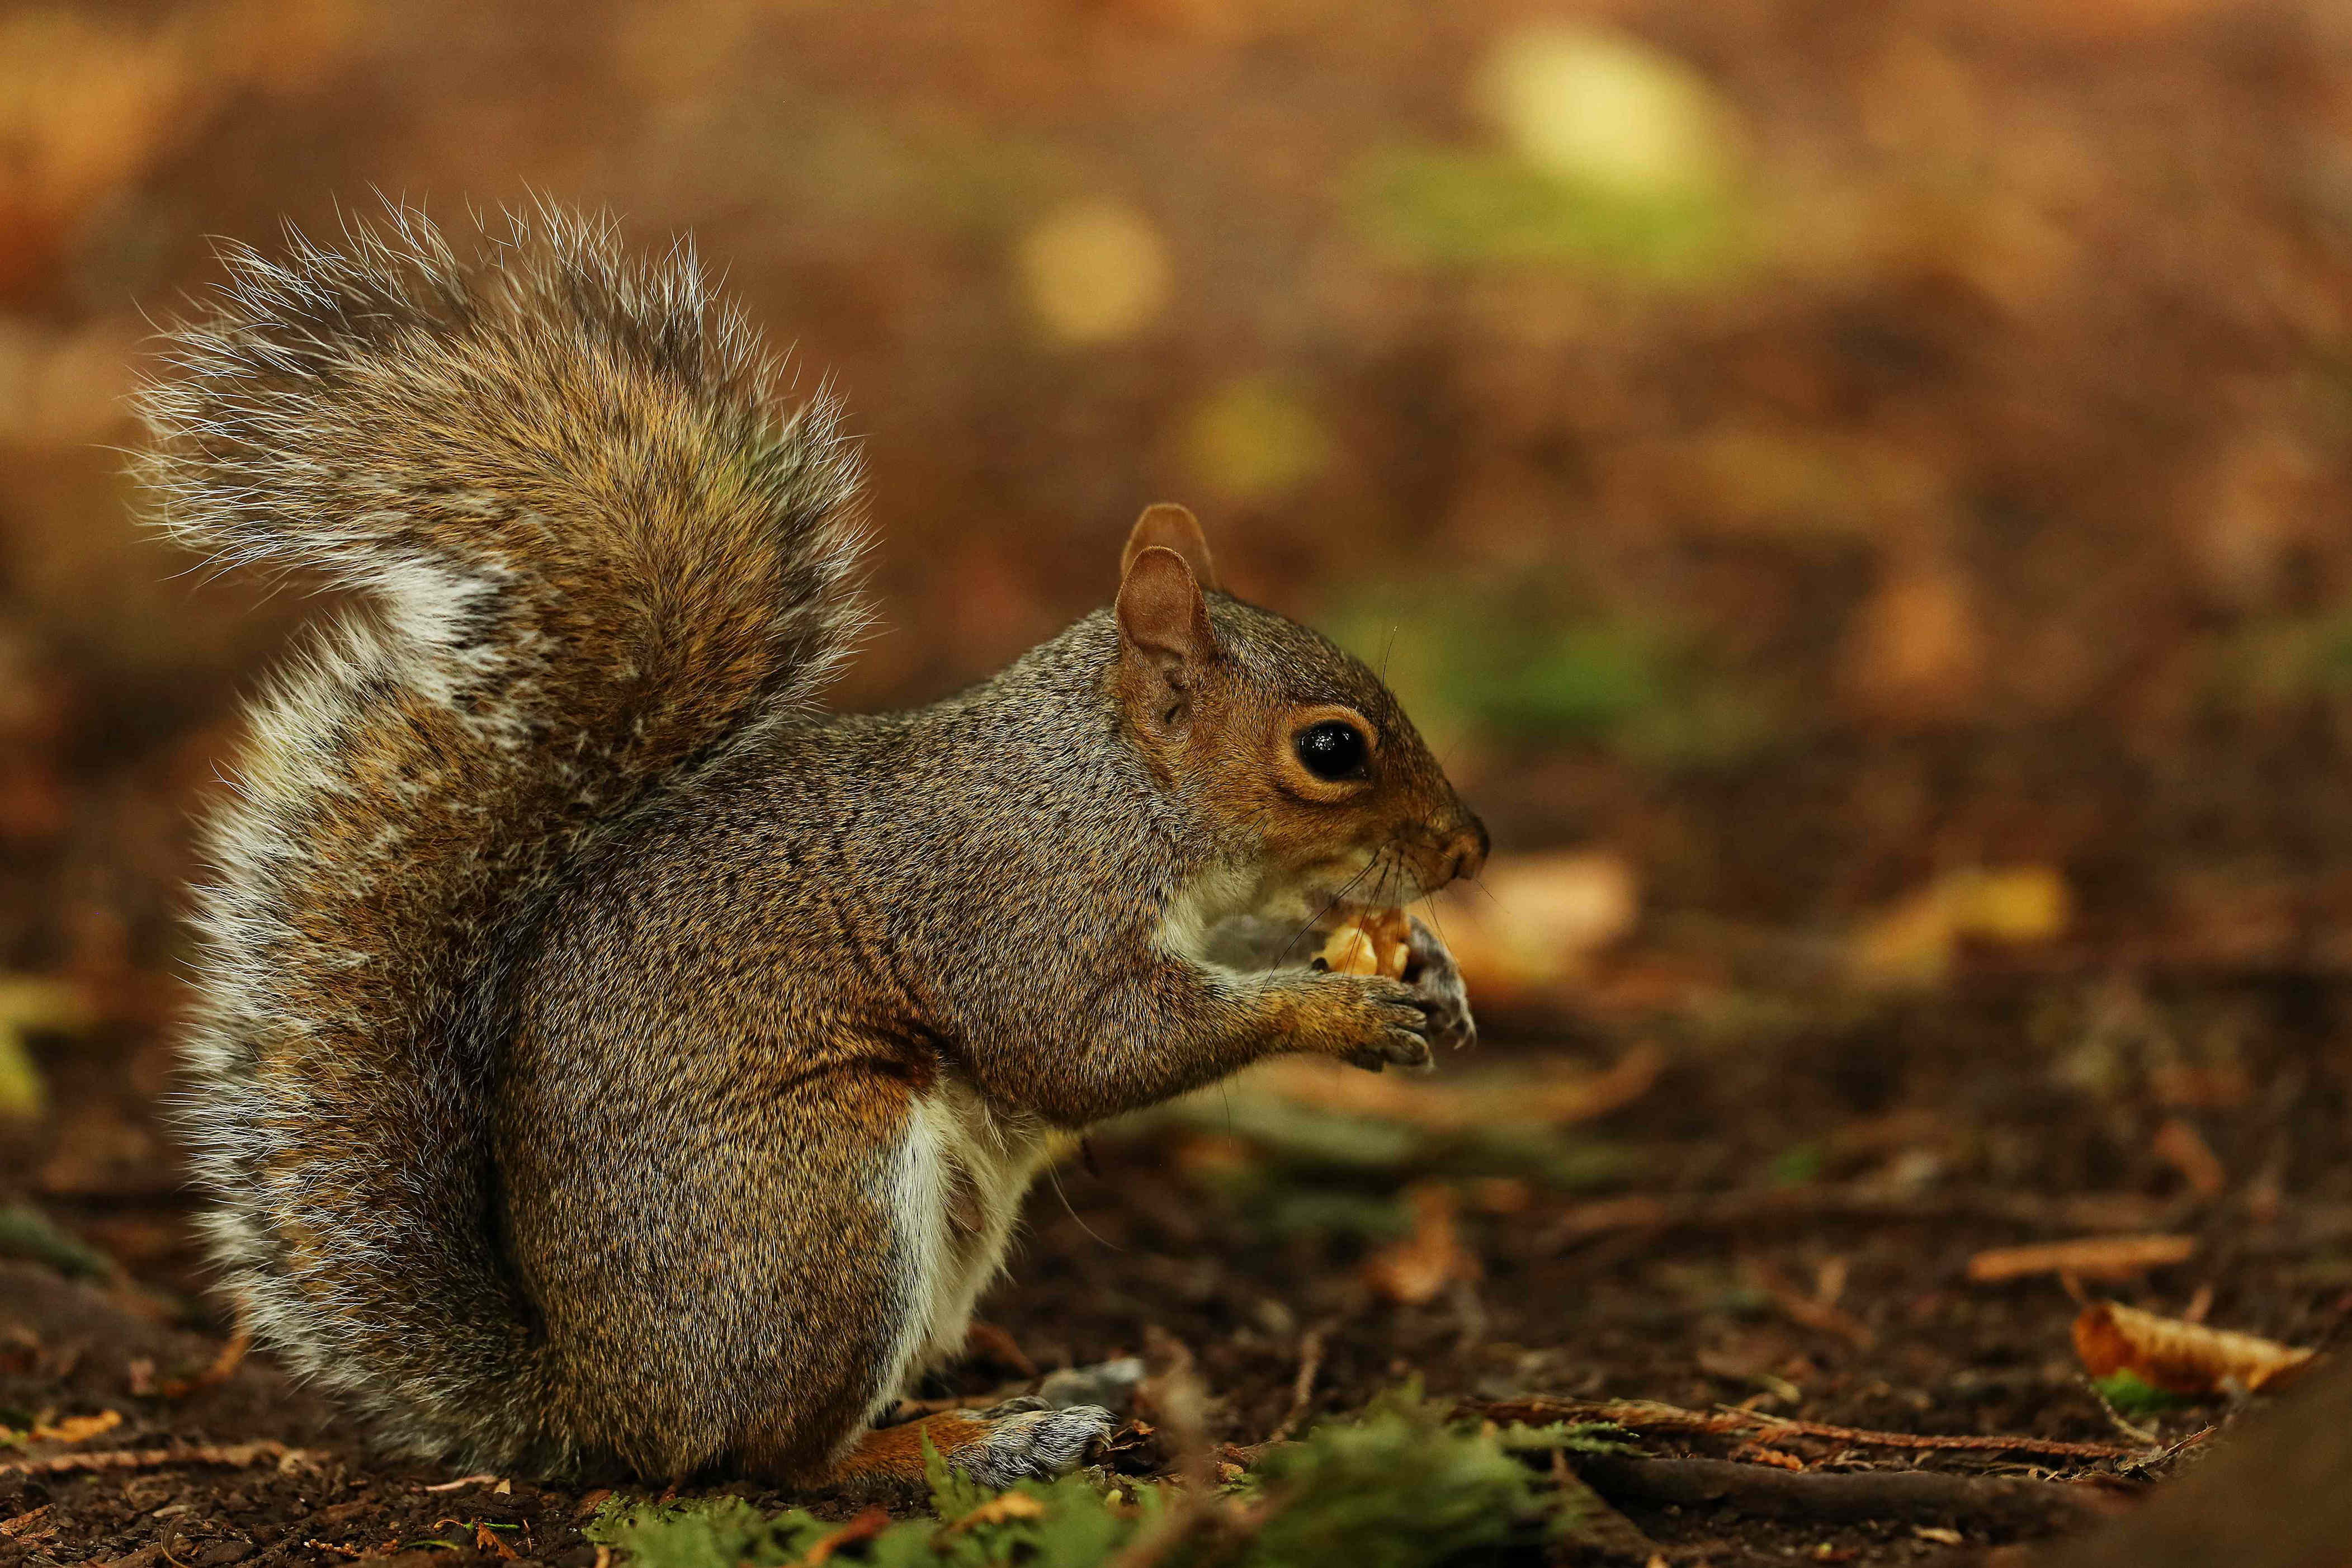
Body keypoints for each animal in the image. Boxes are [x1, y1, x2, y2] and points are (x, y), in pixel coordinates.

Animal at [138, 204, 1488, 1489]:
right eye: (1331, 748)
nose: (1469, 850)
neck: (1115, 794)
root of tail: (601, 1401)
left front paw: (1422, 965)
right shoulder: (1016, 901)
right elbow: (1090, 1048)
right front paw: (1337, 1011)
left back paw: (1048, 1386)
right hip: (825, 1201)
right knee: (778, 1456)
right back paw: (974, 1445)